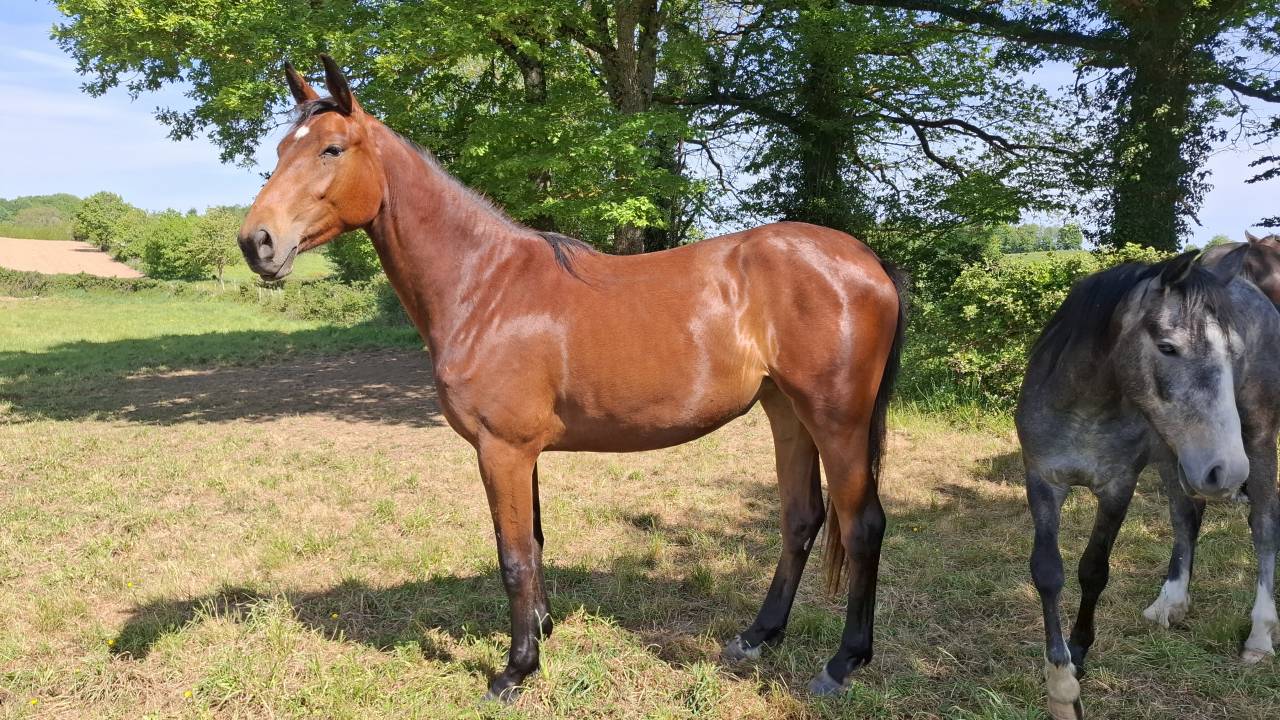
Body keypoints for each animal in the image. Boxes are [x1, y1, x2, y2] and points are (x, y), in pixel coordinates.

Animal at [235, 56, 906, 701]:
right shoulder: (520, 453)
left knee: (862, 523)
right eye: (280, 149)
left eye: (331, 149)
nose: (256, 242)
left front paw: (515, 671)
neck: (485, 286)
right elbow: (532, 544)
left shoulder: (501, 450)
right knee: (801, 518)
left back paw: (842, 664)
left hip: (836, 418)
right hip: (786, 410)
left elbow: (512, 558)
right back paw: (756, 636)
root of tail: (868, 261)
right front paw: (542, 630)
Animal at [1015, 248, 1280, 720]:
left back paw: (1260, 636)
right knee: (1186, 518)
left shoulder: (1118, 486)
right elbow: (1048, 572)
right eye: (1168, 347)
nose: (1228, 471)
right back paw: (1170, 603)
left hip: (1254, 441)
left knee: (1264, 525)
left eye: (1234, 354)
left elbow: (1093, 570)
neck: (1084, 409)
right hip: (1181, 459)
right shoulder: (1042, 480)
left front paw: (1077, 659)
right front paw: (1060, 684)